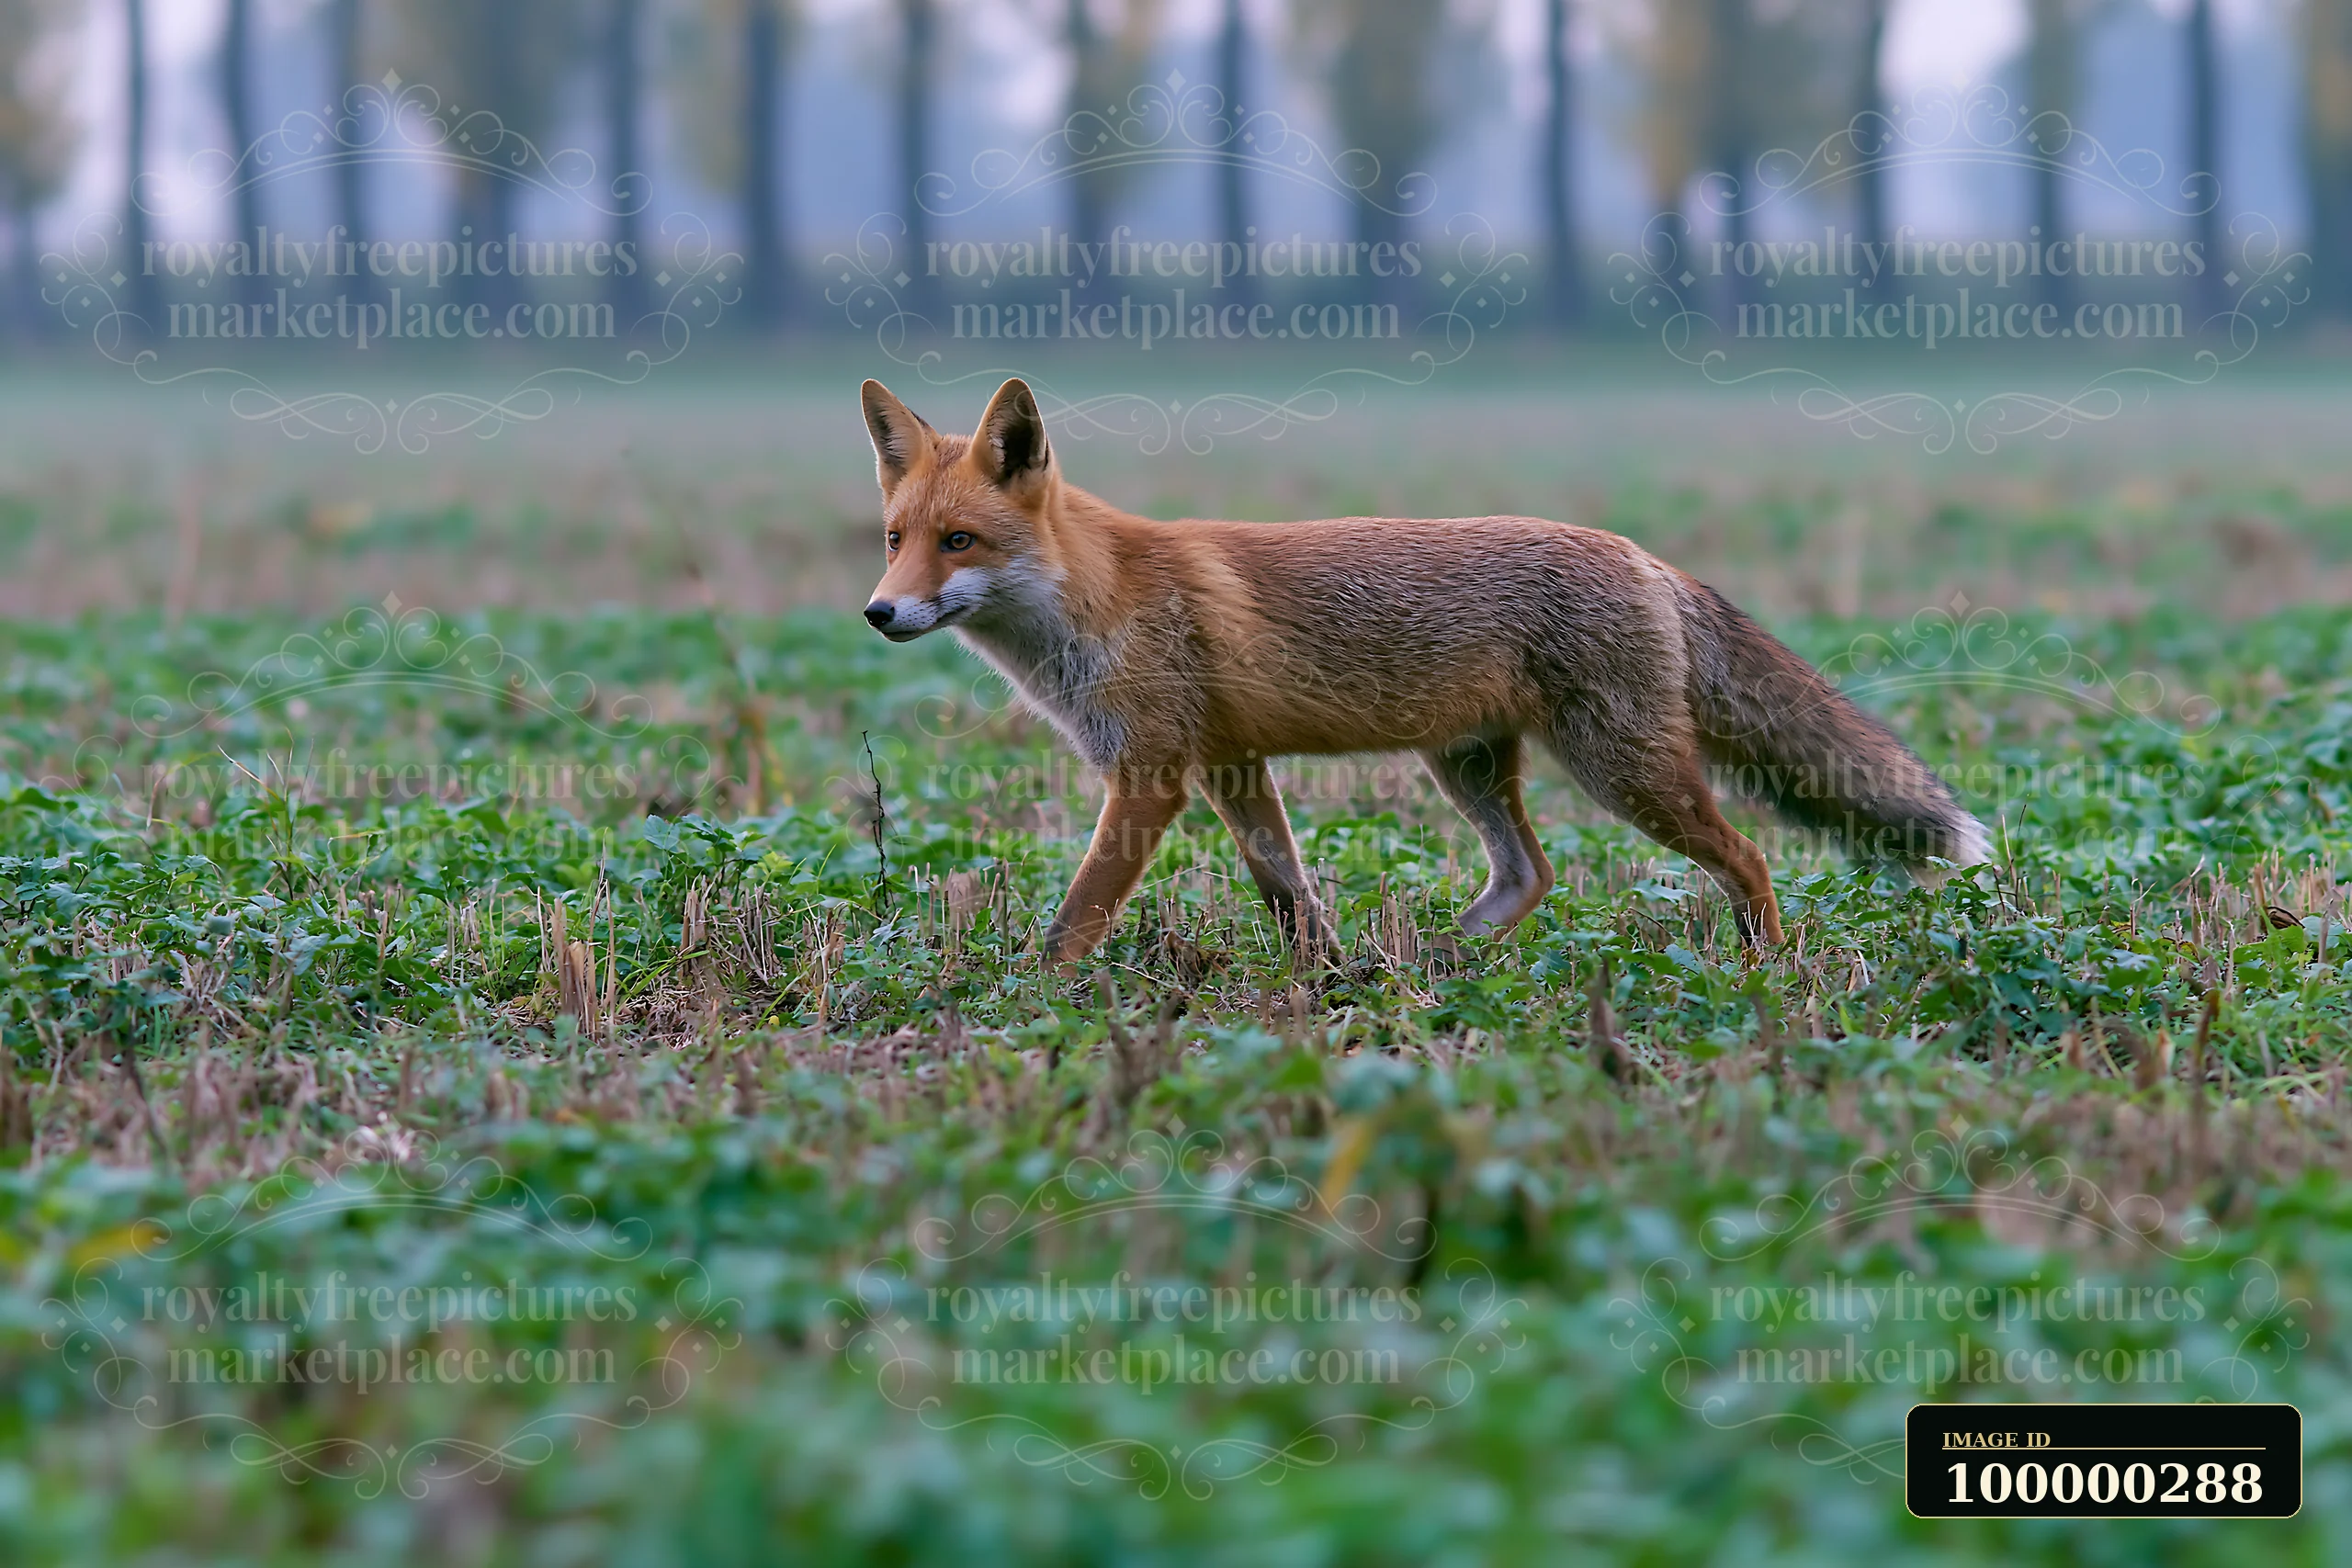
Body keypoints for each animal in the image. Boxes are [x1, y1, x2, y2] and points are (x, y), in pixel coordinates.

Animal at [858, 376, 1988, 967]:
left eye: (960, 542)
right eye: (895, 540)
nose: (878, 613)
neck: (1092, 601)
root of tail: (1639, 553)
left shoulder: (1151, 777)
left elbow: (1079, 911)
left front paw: (1032, 993)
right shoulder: (1231, 766)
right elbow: (1287, 892)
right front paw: (1324, 983)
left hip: (1620, 770)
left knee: (1746, 855)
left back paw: (1765, 971)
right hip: (1471, 766)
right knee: (1531, 873)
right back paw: (1440, 958)